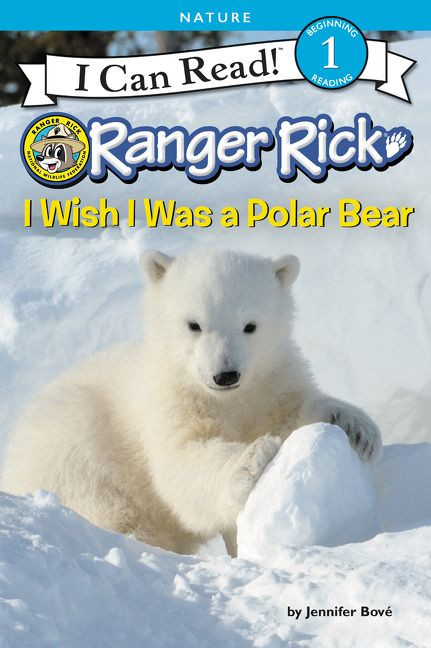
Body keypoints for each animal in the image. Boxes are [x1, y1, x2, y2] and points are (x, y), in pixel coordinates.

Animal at [0, 249, 382, 556]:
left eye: (250, 325)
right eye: (194, 324)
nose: (225, 375)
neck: (225, 400)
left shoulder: (268, 383)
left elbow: (293, 409)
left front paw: (357, 429)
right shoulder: (168, 402)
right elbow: (182, 464)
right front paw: (254, 456)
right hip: (68, 441)